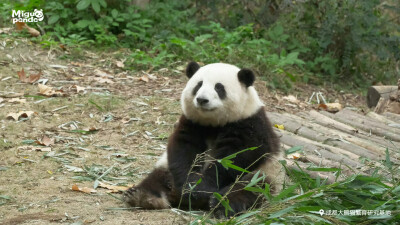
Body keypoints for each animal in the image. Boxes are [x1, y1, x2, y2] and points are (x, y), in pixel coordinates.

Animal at [124, 61, 284, 216]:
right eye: (198, 85)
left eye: (219, 87)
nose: (202, 100)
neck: (214, 123)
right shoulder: (193, 123)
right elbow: (184, 150)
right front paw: (190, 187)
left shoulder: (250, 123)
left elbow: (235, 157)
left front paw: (199, 189)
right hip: (166, 167)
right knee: (158, 178)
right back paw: (141, 196)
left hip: (267, 172)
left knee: (251, 187)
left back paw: (221, 205)